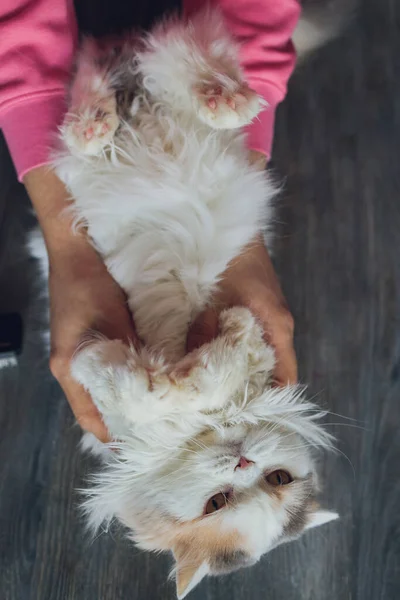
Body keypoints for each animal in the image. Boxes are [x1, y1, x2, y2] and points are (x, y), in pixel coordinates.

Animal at [30, 7, 340, 596]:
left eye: (278, 479)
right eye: (217, 503)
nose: (241, 460)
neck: (204, 432)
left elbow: (214, 366)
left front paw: (199, 360)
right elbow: (145, 387)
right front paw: (175, 374)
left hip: (160, 79)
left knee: (130, 62)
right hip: (157, 93)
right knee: (132, 74)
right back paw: (120, 120)